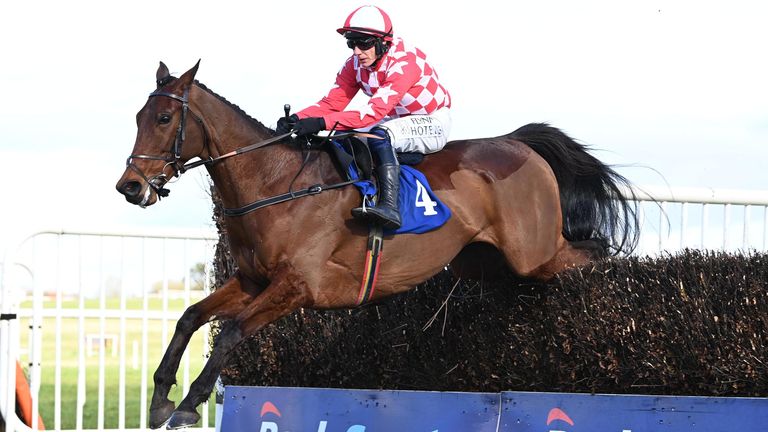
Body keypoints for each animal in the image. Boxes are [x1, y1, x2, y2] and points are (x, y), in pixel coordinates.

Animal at [115, 60, 640, 428]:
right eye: (138, 116)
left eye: (164, 117)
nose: (130, 187)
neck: (278, 185)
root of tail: (518, 142)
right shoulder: (251, 280)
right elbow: (189, 317)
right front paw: (161, 399)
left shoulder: (298, 287)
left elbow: (231, 333)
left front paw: (189, 404)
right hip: (483, 261)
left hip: (536, 254)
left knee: (593, 252)